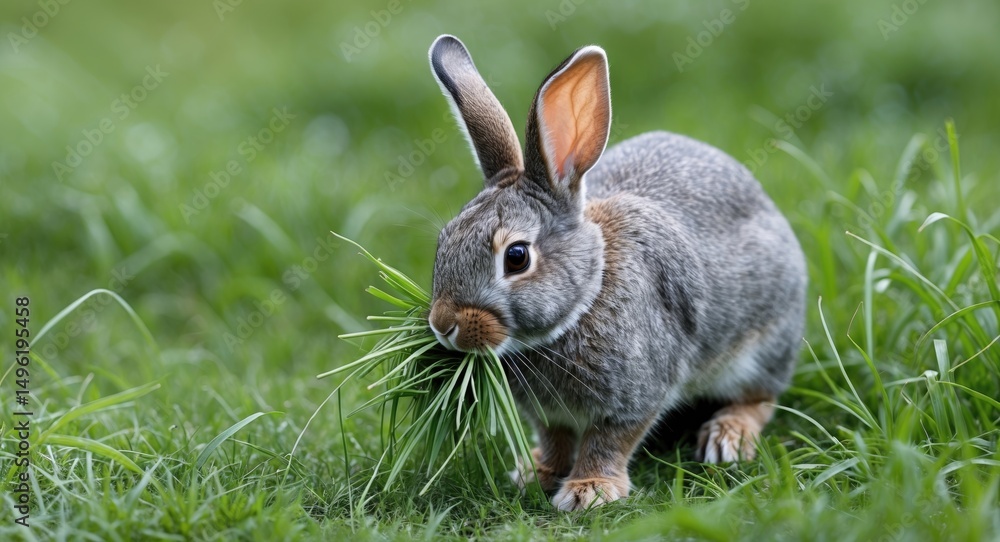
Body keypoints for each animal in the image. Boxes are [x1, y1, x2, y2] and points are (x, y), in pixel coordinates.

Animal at [424, 34, 807, 511]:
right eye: (444, 242)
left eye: (516, 257)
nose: (443, 324)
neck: (588, 294)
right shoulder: (548, 416)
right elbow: (555, 438)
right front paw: (536, 473)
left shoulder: (636, 394)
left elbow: (609, 440)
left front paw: (588, 491)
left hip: (763, 343)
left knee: (761, 398)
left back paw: (727, 438)